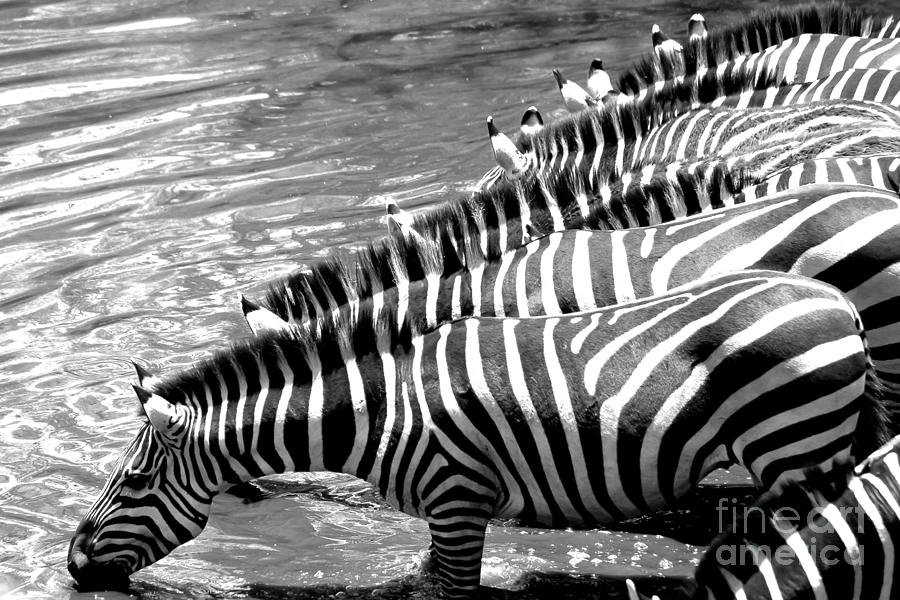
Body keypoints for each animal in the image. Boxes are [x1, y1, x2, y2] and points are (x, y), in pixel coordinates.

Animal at [69, 269, 888, 597]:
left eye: (133, 482)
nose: (72, 564)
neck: (375, 414)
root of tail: (839, 303)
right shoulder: (447, 519)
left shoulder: (458, 502)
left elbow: (448, 594)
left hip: (795, 450)